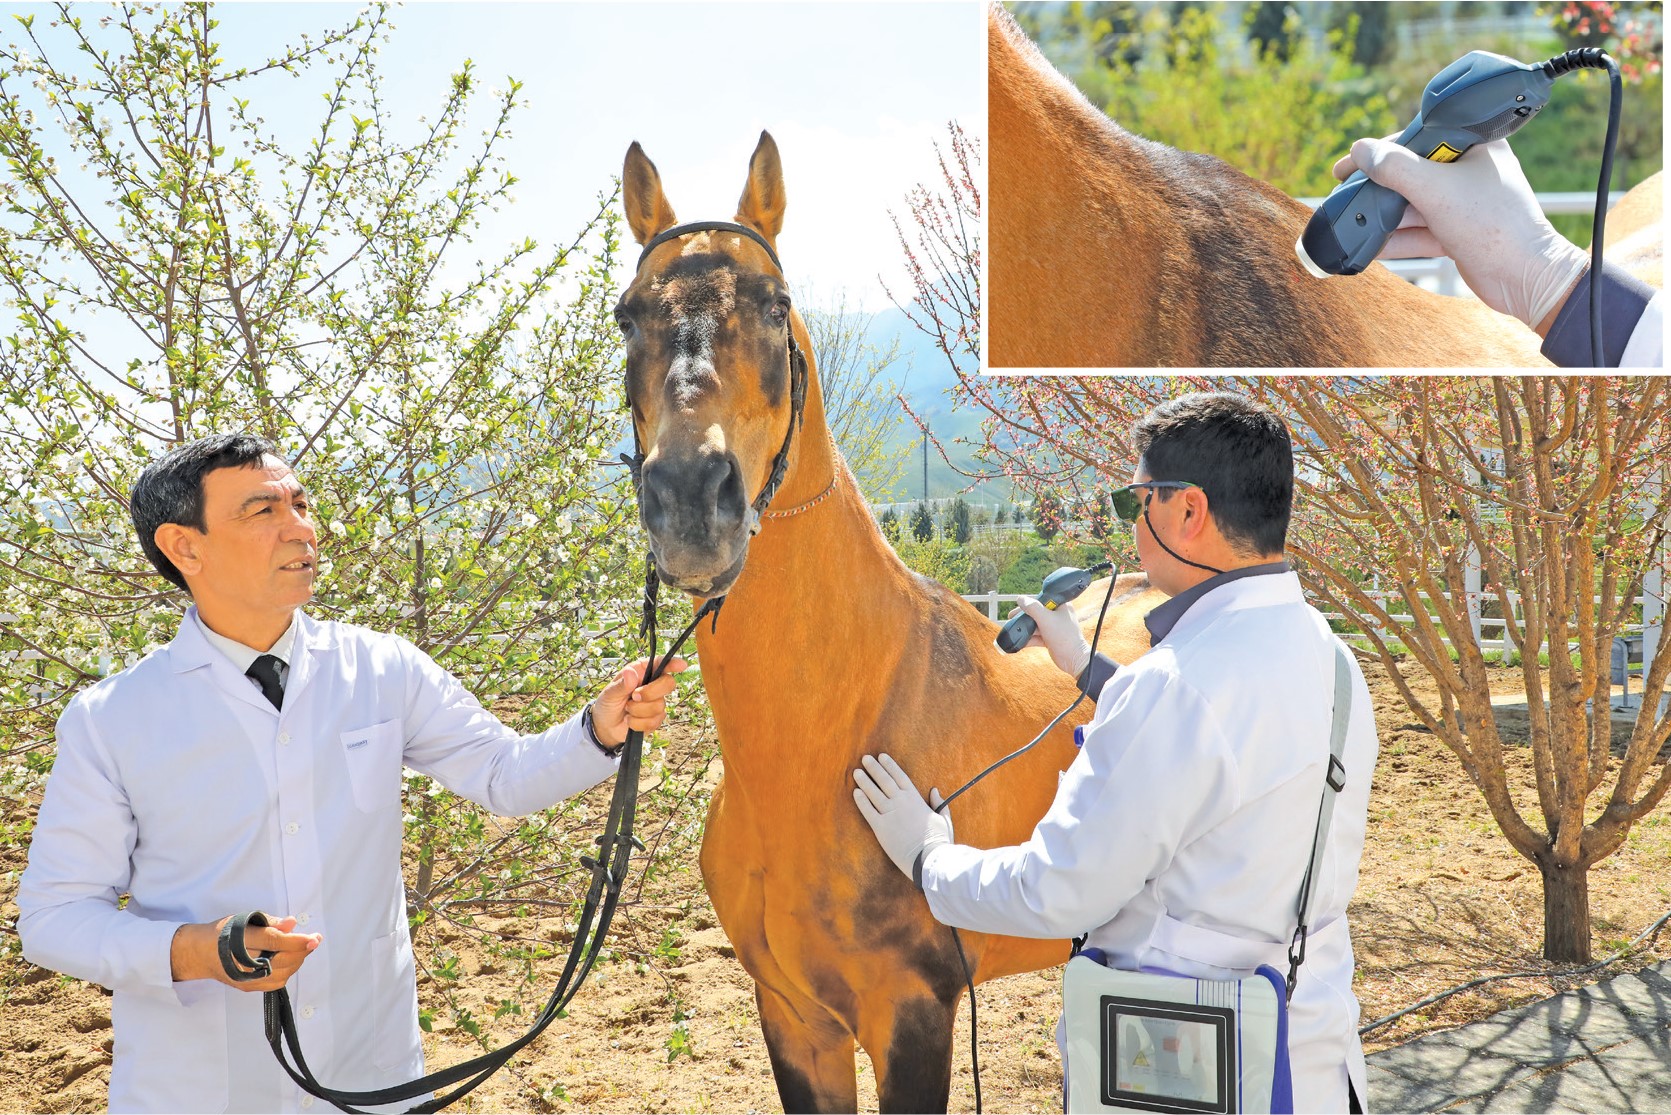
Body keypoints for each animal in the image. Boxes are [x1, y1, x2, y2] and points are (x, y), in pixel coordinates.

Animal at [617, 130, 1166, 1112]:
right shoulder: (793, 1016)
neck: (830, 743)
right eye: (625, 317)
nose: (688, 500)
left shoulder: (913, 1015)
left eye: (776, 305)